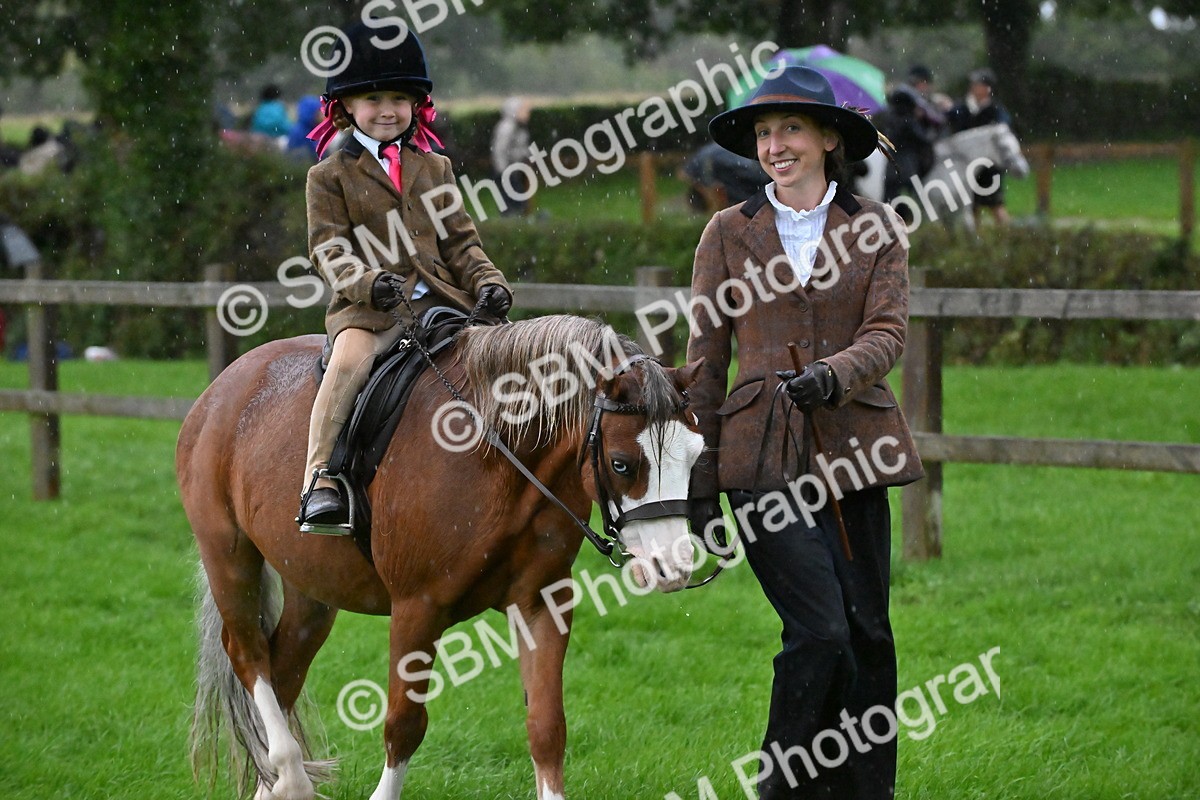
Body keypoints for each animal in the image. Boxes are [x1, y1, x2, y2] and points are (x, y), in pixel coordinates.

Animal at [177, 314, 705, 800]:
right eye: (621, 464)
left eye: (696, 456)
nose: (674, 569)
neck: (498, 456)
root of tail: (224, 385)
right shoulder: (418, 609)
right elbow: (404, 725)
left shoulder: (543, 603)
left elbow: (547, 728)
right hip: (228, 556)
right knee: (248, 654)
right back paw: (289, 773)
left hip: (312, 591)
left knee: (283, 669)